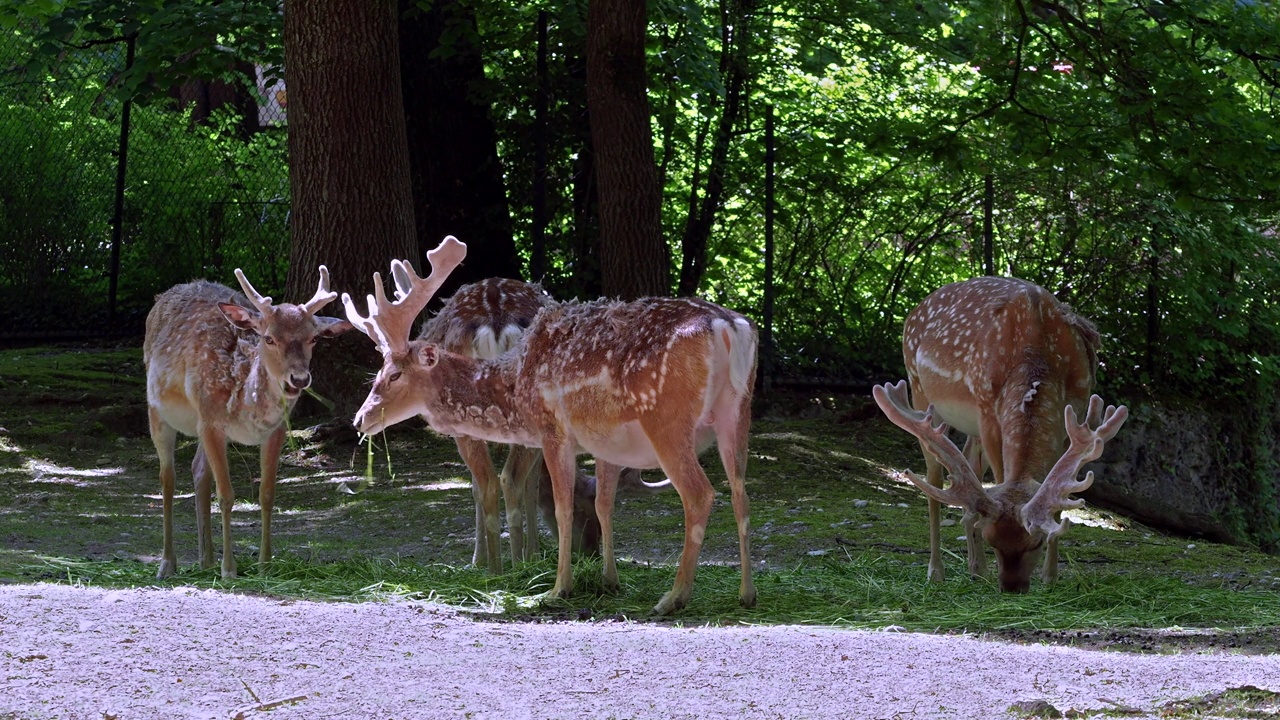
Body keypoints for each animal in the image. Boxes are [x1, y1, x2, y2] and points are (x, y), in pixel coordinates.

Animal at [145, 266, 350, 573]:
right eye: (268, 338)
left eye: (313, 338)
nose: (299, 378)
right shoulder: (211, 422)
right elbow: (226, 495)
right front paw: (229, 568)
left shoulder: (276, 430)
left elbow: (267, 494)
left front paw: (265, 563)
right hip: (157, 411)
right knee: (167, 478)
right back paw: (168, 564)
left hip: (199, 424)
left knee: (198, 470)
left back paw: (206, 561)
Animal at [343, 237, 757, 609]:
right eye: (376, 371)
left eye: (394, 374)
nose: (360, 419)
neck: (516, 384)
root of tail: (728, 328)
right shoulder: (604, 442)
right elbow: (604, 502)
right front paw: (608, 580)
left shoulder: (552, 429)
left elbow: (560, 506)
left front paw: (558, 588)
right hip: (738, 411)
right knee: (741, 492)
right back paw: (746, 593)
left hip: (666, 420)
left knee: (700, 494)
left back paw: (673, 597)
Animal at [870, 274, 1131, 589]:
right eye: (992, 540)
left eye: (1036, 542)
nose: (1011, 587)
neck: (1035, 347)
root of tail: (913, 312)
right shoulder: (987, 408)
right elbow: (1002, 477)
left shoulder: (1077, 407)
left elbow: (1058, 491)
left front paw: (1051, 576)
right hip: (919, 389)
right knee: (934, 477)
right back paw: (937, 571)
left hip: (968, 424)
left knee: (968, 464)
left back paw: (976, 568)